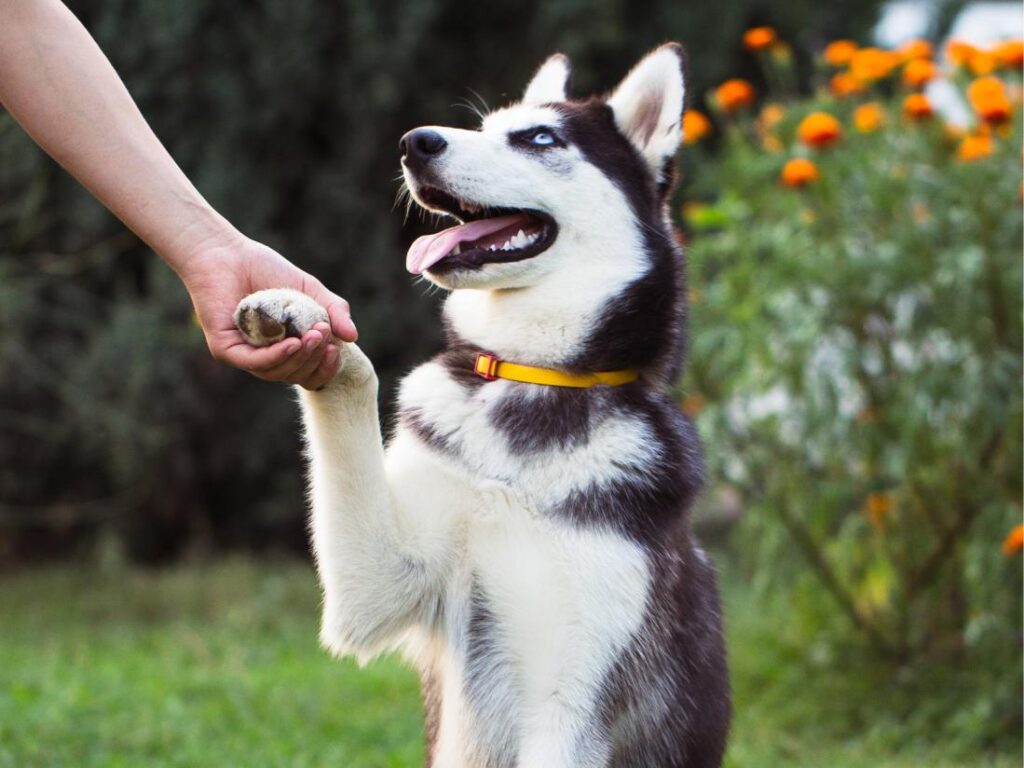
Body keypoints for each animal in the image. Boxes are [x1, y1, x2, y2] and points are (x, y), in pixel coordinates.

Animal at [234, 43, 729, 768]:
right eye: (486, 126)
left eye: (540, 138)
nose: (415, 141)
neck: (532, 376)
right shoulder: (380, 583)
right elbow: (356, 377)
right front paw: (298, 312)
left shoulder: (567, 706)